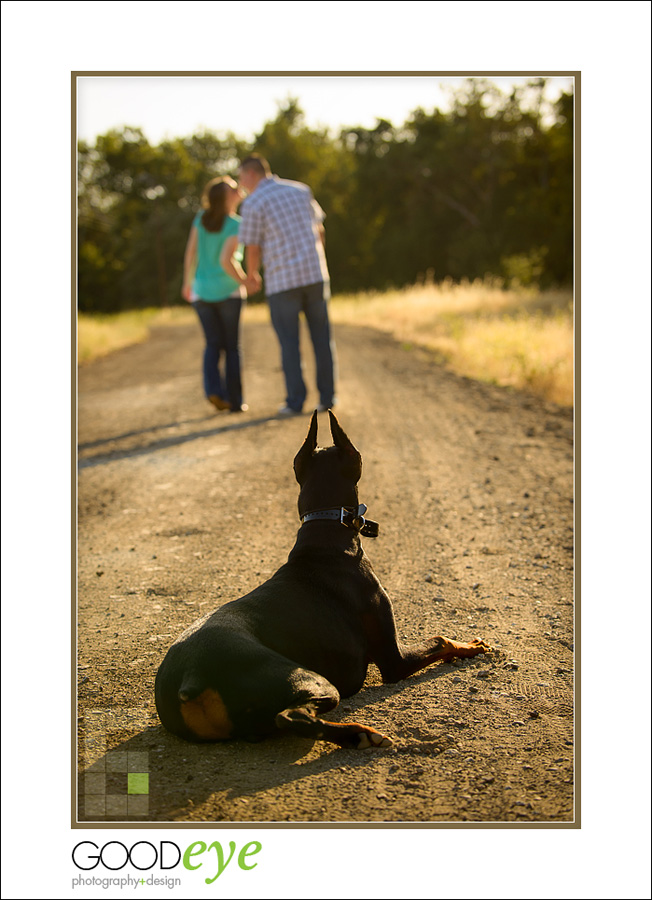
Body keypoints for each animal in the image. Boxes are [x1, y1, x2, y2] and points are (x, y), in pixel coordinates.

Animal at [155, 412, 486, 748]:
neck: (325, 535)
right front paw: (472, 644)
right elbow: (441, 639)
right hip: (307, 679)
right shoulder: (394, 659)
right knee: (291, 716)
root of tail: (190, 680)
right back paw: (360, 734)